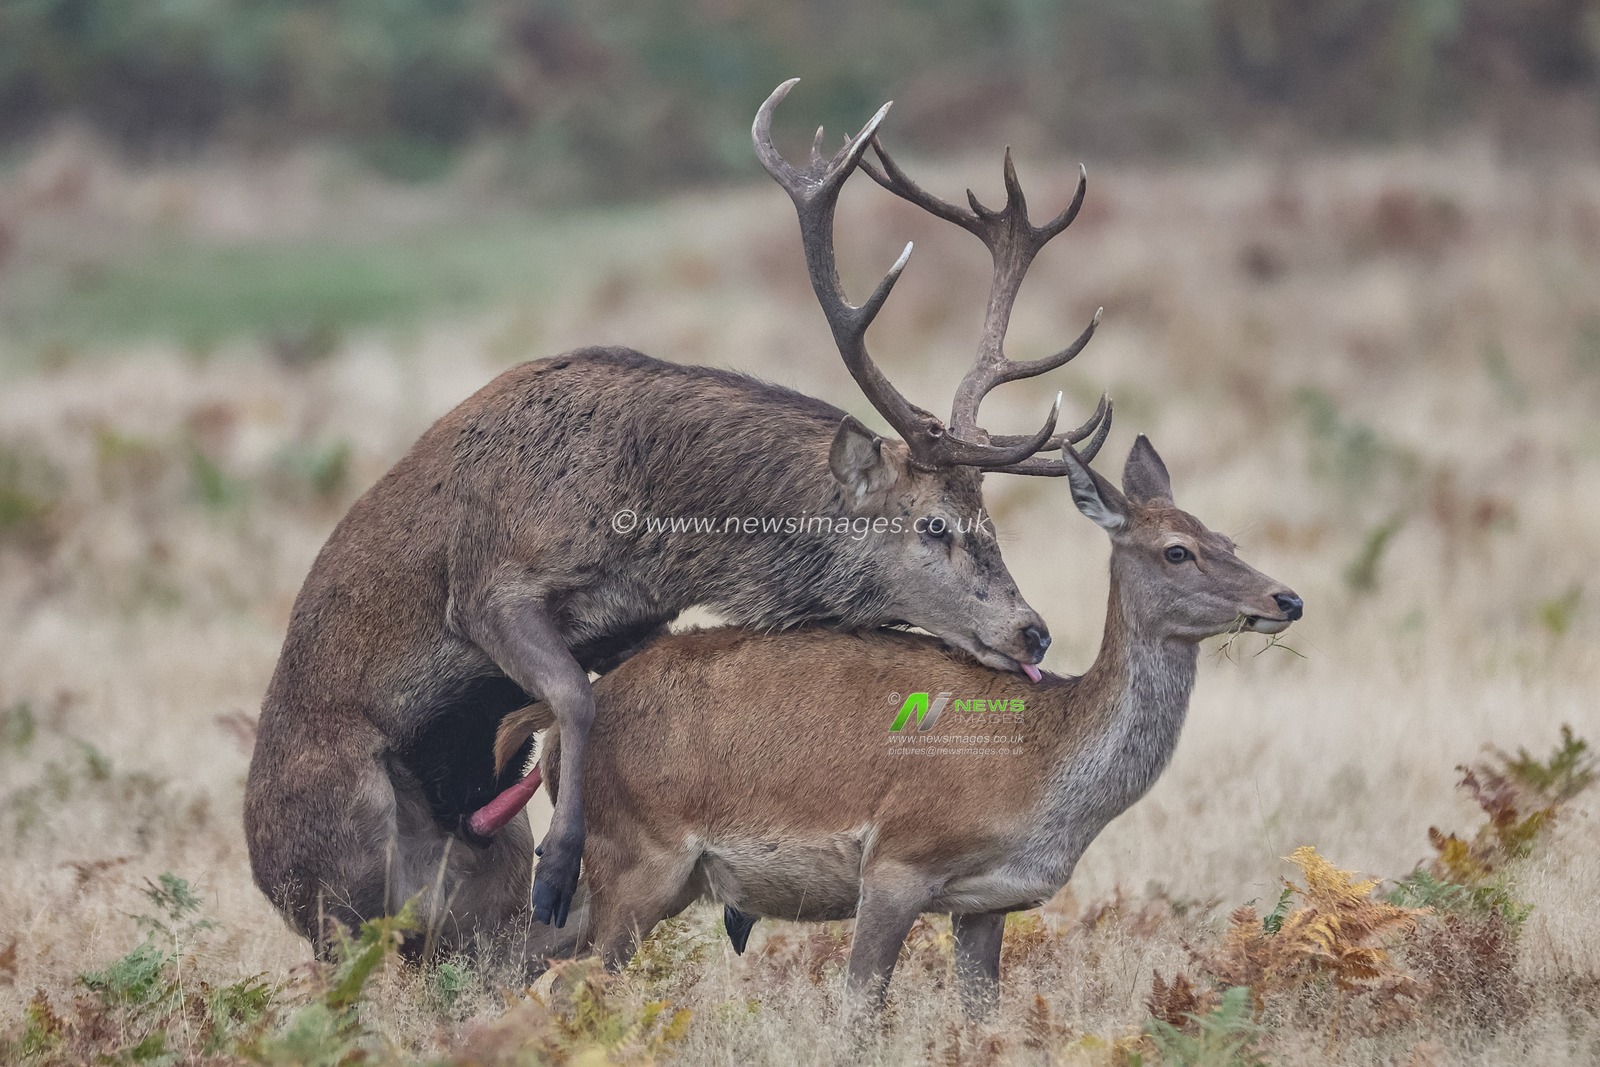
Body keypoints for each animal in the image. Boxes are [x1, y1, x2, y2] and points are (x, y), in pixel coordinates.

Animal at [243, 78, 1111, 969]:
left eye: (988, 517)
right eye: (935, 525)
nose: (1032, 629)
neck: (651, 525)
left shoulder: (634, 620)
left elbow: (597, 697)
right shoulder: (488, 581)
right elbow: (574, 699)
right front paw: (560, 864)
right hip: (336, 856)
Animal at [492, 435, 1304, 1013]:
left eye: (1228, 539)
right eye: (1177, 550)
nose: (1287, 597)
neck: (1042, 771)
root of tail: (555, 726)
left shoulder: (987, 901)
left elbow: (982, 1017)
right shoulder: (898, 858)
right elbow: (859, 1006)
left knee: (526, 962)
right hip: (639, 853)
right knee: (572, 982)